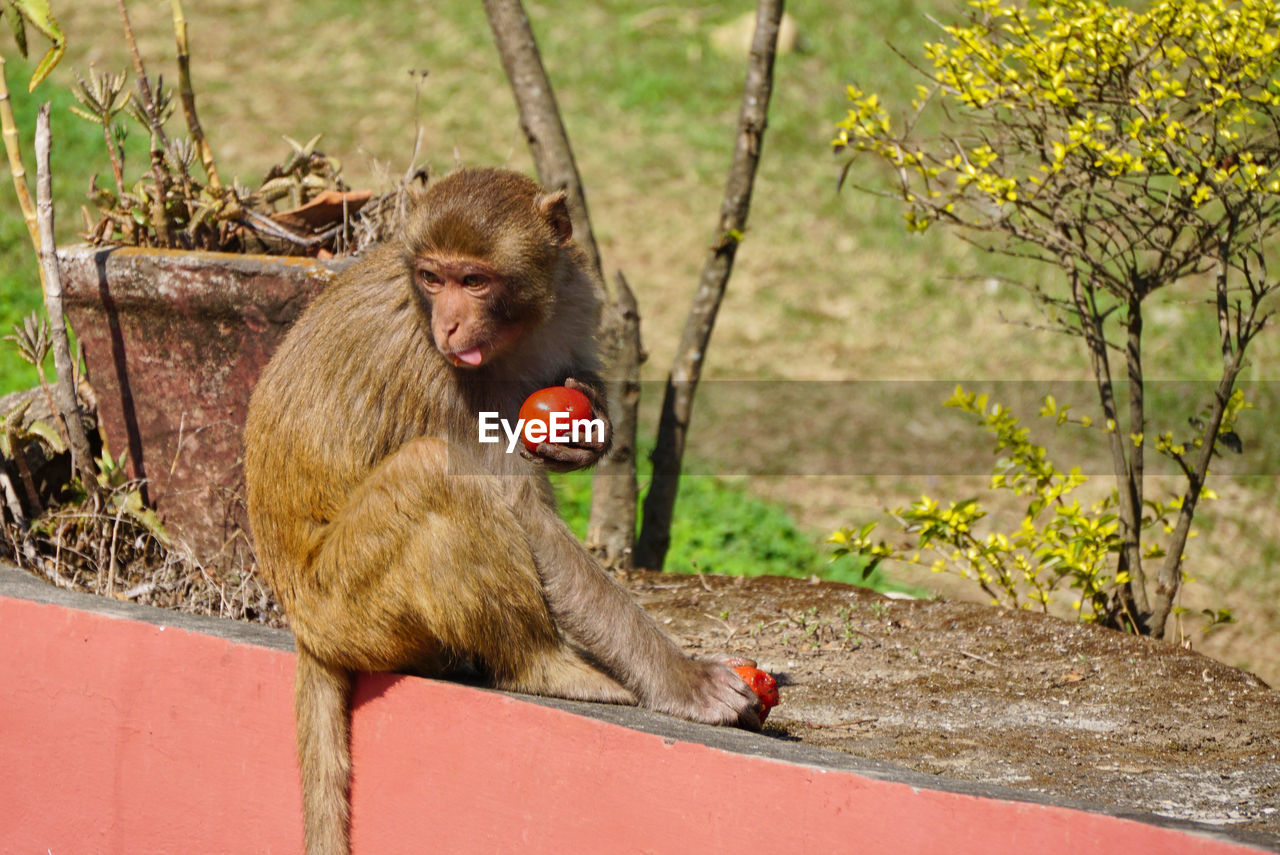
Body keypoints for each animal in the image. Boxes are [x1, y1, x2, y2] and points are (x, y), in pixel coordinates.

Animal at [241, 166, 757, 855]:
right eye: (432, 278)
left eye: (474, 280)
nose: (450, 328)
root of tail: (301, 626)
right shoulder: (438, 375)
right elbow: (520, 511)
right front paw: (682, 679)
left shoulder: (573, 297)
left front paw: (589, 425)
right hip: (344, 607)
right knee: (434, 474)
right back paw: (545, 668)